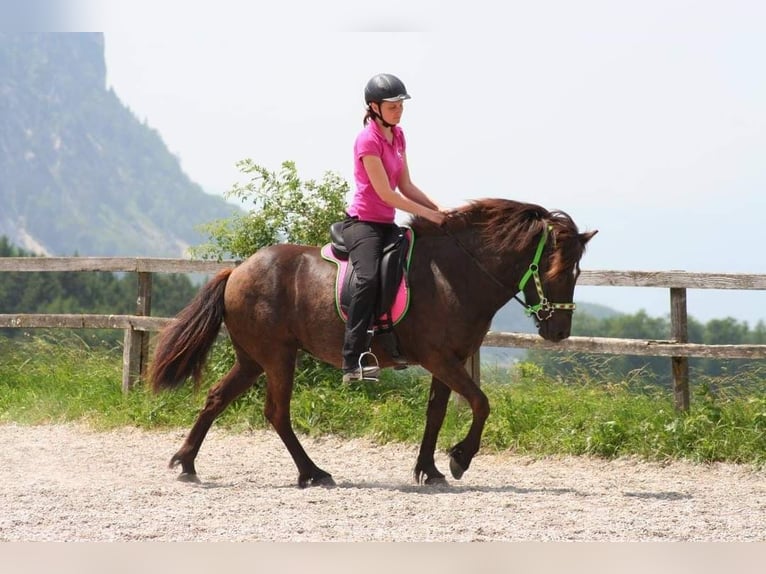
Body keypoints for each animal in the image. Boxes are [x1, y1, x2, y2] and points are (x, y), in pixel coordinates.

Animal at [149, 198, 597, 487]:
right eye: (557, 271)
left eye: (577, 272)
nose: (559, 332)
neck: (456, 274)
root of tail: (238, 270)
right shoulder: (439, 358)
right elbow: (481, 403)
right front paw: (459, 459)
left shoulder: (448, 360)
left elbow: (437, 413)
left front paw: (430, 470)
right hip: (277, 357)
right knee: (276, 413)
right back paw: (312, 473)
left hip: (253, 359)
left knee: (216, 398)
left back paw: (186, 463)